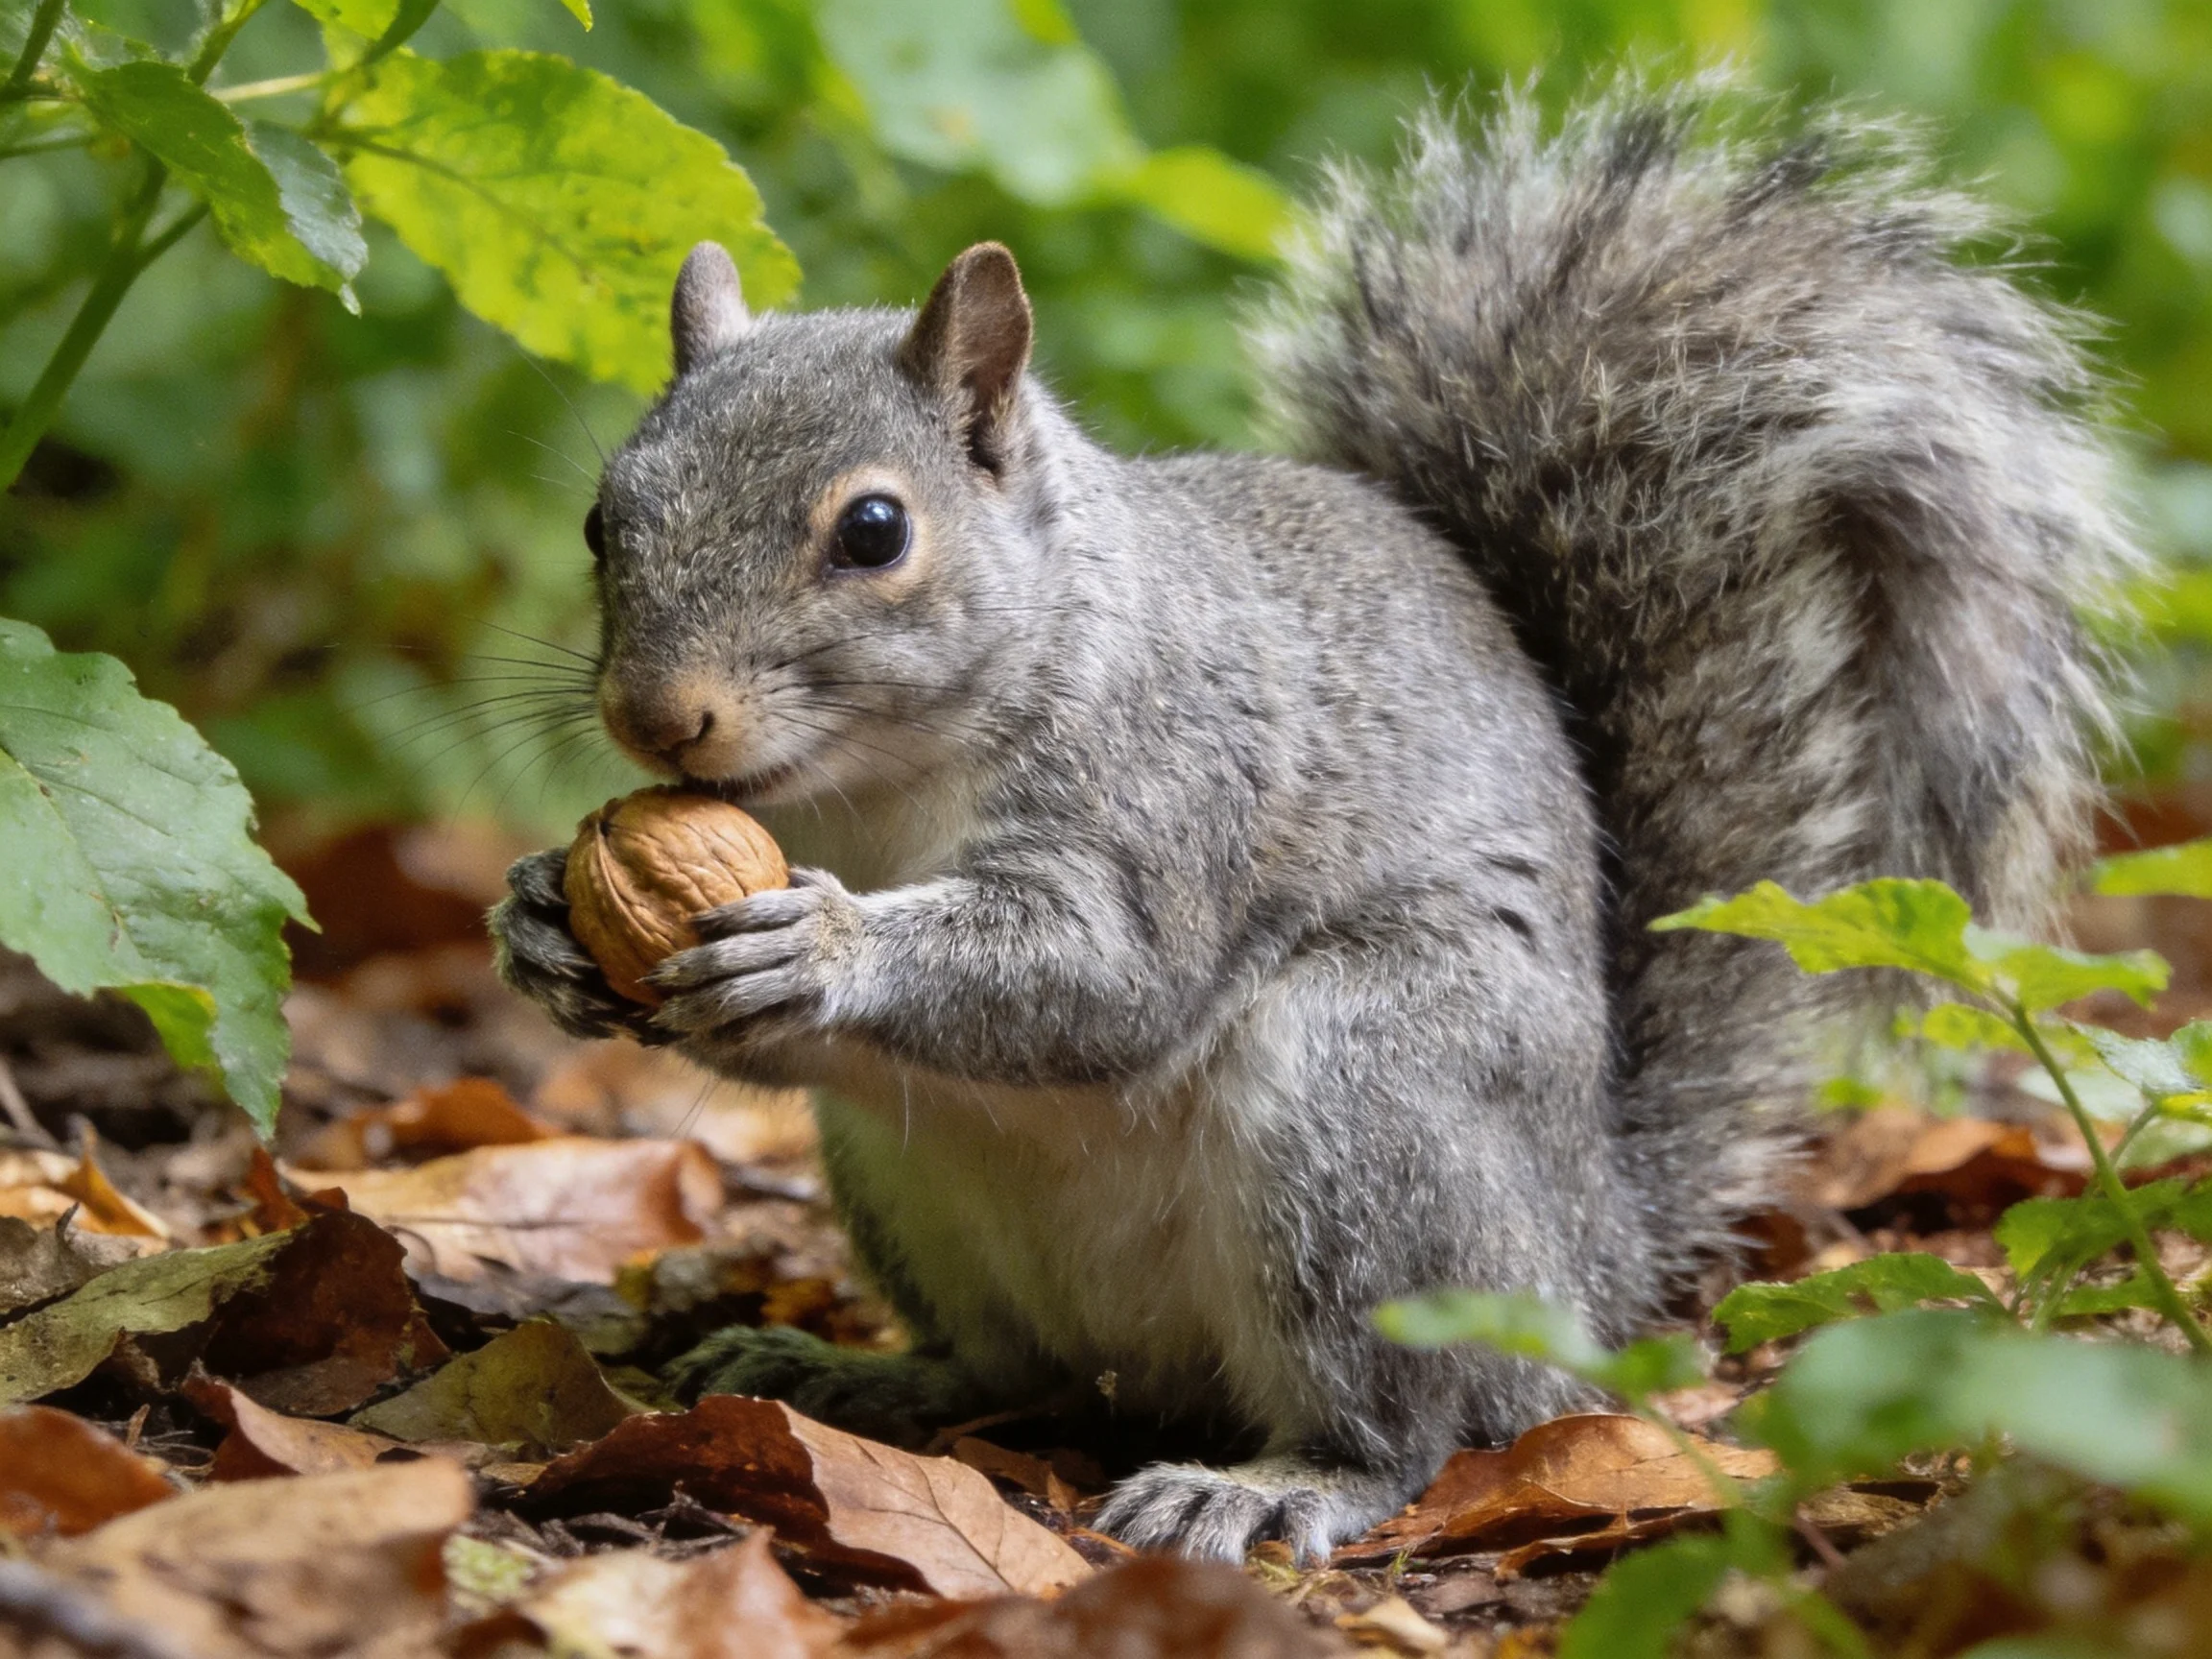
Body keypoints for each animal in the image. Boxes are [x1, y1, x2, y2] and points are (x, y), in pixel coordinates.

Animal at [490, 75, 2137, 1562]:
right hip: (910, 1190)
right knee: (1009, 1374)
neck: (875, 785)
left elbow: (1102, 977)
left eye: (876, 530)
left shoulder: (1176, 789)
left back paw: (1272, 1488)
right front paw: (539, 920)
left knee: (1407, 1430)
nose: (659, 717)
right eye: (600, 517)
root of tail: (1591, 1272)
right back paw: (851, 1375)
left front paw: (827, 951)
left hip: (1367, 1115)